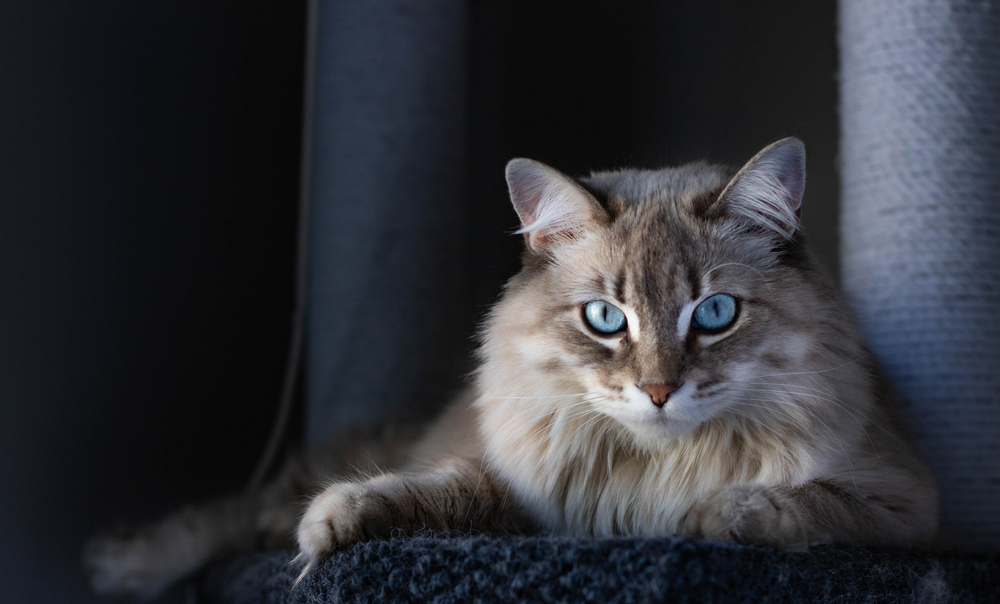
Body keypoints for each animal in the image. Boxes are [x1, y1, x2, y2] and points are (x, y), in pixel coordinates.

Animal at [84, 138, 936, 600]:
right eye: (606, 320)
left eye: (715, 314)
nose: (659, 391)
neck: (654, 467)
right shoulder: (533, 491)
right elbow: (442, 489)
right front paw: (333, 528)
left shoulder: (905, 511)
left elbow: (798, 503)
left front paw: (713, 517)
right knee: (230, 518)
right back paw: (132, 565)